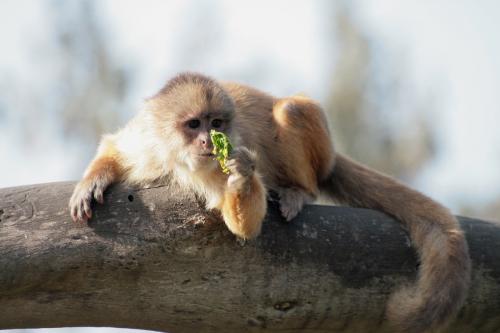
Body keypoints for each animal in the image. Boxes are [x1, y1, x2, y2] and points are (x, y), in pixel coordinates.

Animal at [69, 72, 468, 332]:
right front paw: (92, 181)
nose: (209, 141)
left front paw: (244, 173)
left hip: (319, 155)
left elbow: (244, 225)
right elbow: (115, 147)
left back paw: (299, 190)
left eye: (216, 123)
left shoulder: (218, 162)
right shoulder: (148, 143)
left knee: (291, 110)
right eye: (194, 124)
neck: (179, 158)